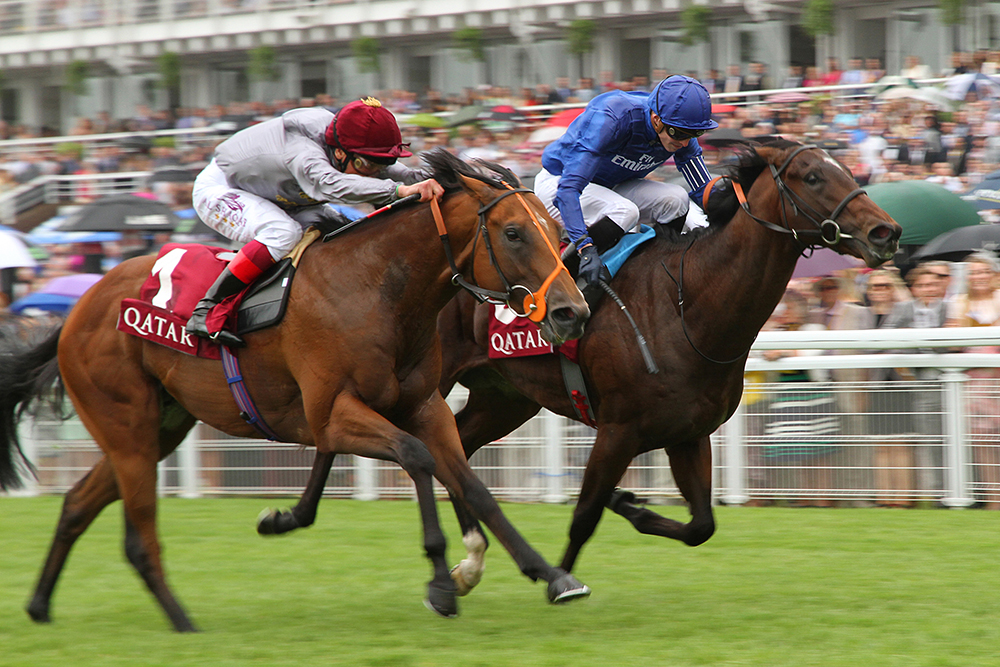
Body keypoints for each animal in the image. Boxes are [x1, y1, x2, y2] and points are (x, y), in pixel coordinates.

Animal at [0, 150, 592, 632]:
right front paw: (442, 584)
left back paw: (40, 605)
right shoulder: (333, 416)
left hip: (157, 429)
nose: (573, 312)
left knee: (77, 503)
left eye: (553, 225)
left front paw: (550, 574)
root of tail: (78, 307)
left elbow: (473, 485)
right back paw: (182, 621)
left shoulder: (424, 407)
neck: (376, 286)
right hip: (127, 427)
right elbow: (417, 457)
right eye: (514, 233)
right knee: (139, 532)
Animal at [262, 140, 904, 584]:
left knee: (455, 452)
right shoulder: (619, 428)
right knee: (338, 435)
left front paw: (632, 506)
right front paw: (562, 573)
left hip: (503, 399)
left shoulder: (687, 432)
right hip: (409, 383)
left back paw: (464, 560)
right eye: (814, 175)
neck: (689, 302)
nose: (887, 231)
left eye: (847, 168)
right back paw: (294, 518)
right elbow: (585, 516)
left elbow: (701, 525)